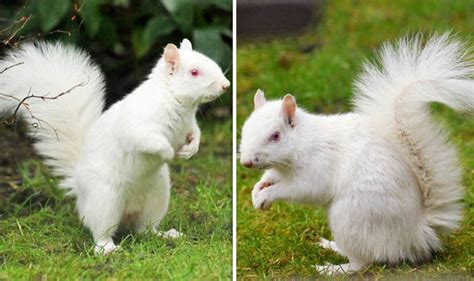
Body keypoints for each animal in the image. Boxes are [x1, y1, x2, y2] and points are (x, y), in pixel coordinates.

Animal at [0, 37, 230, 254]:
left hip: (157, 196)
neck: (178, 103)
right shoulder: (138, 126)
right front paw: (168, 153)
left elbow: (195, 134)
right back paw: (107, 249)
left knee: (144, 228)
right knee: (102, 232)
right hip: (105, 200)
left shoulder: (189, 125)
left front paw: (190, 150)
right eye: (194, 72)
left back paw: (165, 235)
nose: (225, 85)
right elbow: (150, 140)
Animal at [241, 34, 474, 274]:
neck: (299, 145)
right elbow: (271, 176)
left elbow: (301, 189)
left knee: (362, 262)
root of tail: (417, 234)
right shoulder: (280, 170)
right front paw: (257, 190)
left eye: (275, 136)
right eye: (245, 128)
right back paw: (332, 246)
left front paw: (267, 195)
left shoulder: (317, 168)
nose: (246, 162)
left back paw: (331, 269)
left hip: (350, 218)